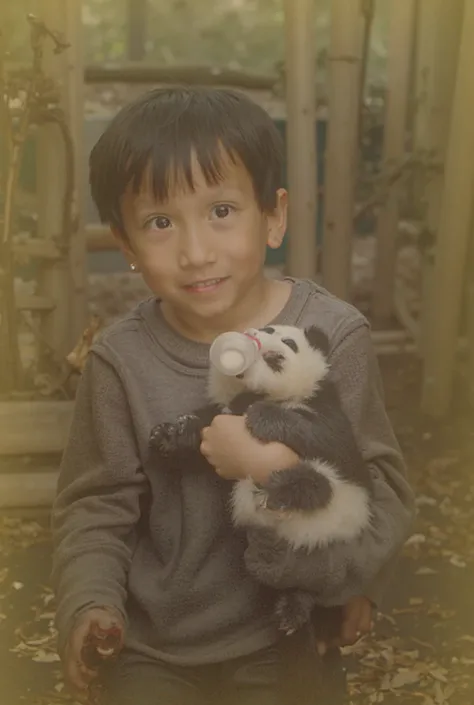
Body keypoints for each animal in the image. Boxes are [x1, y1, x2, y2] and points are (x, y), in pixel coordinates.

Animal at [150, 328, 372, 636]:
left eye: (288, 343)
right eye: (268, 329)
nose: (254, 335)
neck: (260, 392)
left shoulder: (322, 406)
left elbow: (326, 436)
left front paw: (262, 416)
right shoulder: (223, 412)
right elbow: (204, 424)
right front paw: (170, 434)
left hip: (345, 507)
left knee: (320, 487)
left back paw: (282, 493)